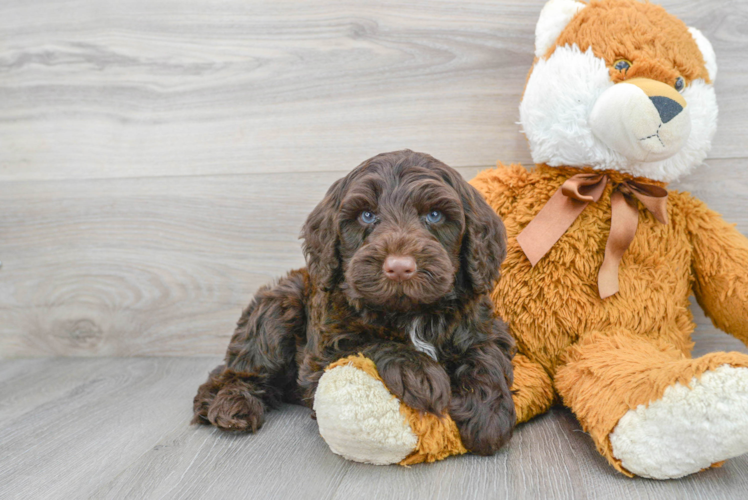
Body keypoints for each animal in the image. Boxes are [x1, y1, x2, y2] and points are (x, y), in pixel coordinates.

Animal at [194, 150, 516, 456]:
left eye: (434, 215)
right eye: (367, 216)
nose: (400, 267)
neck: (409, 312)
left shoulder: (483, 325)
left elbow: (486, 355)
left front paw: (488, 416)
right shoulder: (322, 352)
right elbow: (367, 343)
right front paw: (421, 374)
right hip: (278, 308)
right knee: (237, 370)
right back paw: (232, 405)